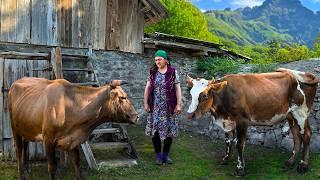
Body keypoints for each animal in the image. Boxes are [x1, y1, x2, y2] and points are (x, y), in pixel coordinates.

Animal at [8, 76, 139, 179]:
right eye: (122, 98)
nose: (136, 116)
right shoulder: (48, 139)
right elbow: (52, 167)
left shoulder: (72, 139)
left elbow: (77, 164)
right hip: (15, 129)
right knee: (19, 152)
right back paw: (21, 175)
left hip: (26, 128)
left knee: (25, 149)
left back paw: (26, 171)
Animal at [186, 68, 318, 176]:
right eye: (191, 93)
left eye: (204, 95)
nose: (190, 114)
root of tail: (304, 74)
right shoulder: (227, 122)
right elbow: (228, 141)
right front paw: (225, 159)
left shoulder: (242, 121)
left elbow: (239, 144)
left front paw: (240, 169)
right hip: (291, 115)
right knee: (296, 136)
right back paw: (290, 162)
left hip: (301, 112)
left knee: (306, 134)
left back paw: (303, 165)